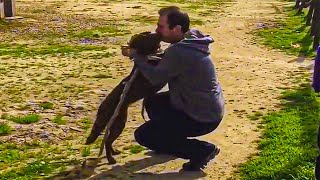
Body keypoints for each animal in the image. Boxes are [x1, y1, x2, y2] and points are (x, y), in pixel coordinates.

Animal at [85, 31, 165, 164]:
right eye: (148, 36)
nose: (158, 32)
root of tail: (102, 108)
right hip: (119, 124)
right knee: (107, 141)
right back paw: (111, 159)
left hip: (117, 123)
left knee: (108, 140)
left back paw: (114, 153)